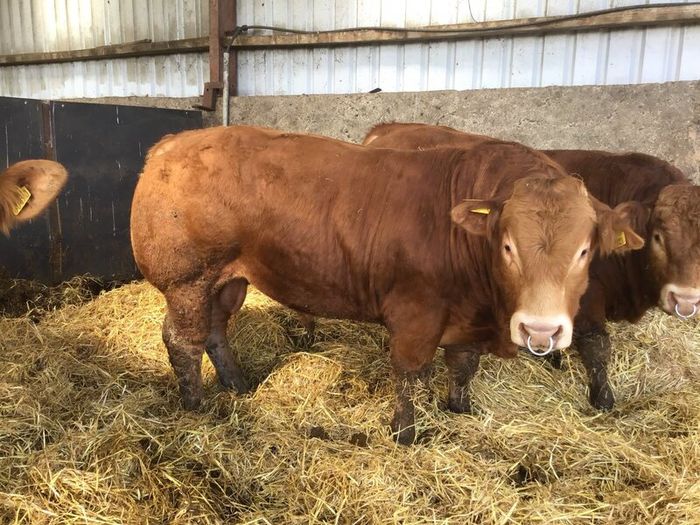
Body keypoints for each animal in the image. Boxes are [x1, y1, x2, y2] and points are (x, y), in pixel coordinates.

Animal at [130, 125, 643, 444]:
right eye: (508, 246)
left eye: (584, 250)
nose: (542, 330)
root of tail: (172, 143)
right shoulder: (417, 313)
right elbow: (410, 375)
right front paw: (405, 433)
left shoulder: (466, 316)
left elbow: (463, 365)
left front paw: (460, 409)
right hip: (187, 280)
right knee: (182, 341)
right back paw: (196, 406)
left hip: (228, 281)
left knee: (216, 332)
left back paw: (236, 385)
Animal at [362, 122, 700, 411]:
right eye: (658, 236)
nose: (685, 299)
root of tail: (389, 128)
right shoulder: (589, 302)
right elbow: (597, 347)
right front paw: (602, 397)